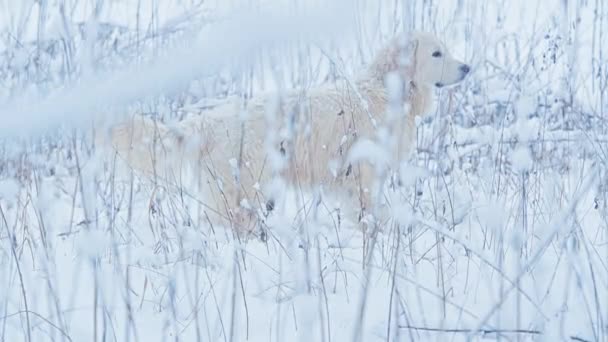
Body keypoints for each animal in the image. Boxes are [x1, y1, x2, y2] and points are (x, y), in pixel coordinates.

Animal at [100, 32, 470, 234]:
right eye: (436, 53)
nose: (467, 67)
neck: (385, 90)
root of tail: (206, 122)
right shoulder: (362, 175)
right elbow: (370, 213)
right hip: (240, 191)